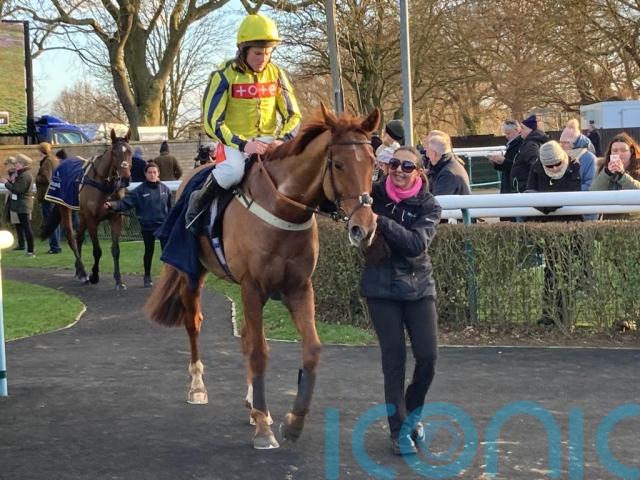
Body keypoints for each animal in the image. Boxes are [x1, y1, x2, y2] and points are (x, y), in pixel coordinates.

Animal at [41, 129, 132, 290]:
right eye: (114, 153)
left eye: (130, 151)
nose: (126, 178)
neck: (103, 184)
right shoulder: (92, 220)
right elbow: (97, 250)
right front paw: (94, 275)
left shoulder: (116, 218)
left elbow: (116, 250)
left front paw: (119, 281)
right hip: (65, 208)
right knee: (71, 237)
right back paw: (83, 273)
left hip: (82, 215)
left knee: (79, 237)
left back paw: (78, 270)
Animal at [145, 105, 380, 449]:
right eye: (338, 164)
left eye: (374, 164)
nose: (364, 227)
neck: (284, 210)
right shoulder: (252, 288)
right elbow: (258, 352)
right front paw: (262, 429)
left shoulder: (298, 288)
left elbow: (311, 350)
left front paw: (292, 421)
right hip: (193, 275)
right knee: (195, 323)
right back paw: (198, 387)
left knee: (245, 335)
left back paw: (254, 404)